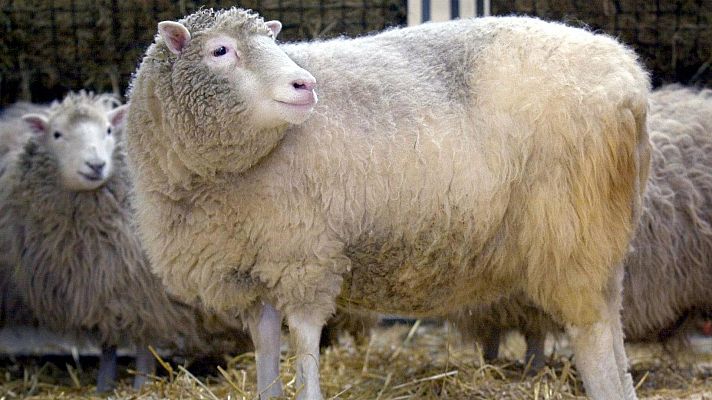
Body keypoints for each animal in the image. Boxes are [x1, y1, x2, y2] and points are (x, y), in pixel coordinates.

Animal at [0, 91, 253, 392]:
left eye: (109, 130)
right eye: (57, 134)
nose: (96, 165)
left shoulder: (147, 295)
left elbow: (145, 343)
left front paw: (141, 385)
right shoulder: (102, 291)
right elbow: (109, 344)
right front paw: (103, 387)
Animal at [125, 8, 651, 400]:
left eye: (274, 45)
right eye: (219, 50)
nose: (305, 85)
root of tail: (631, 78)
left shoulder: (305, 256)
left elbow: (306, 339)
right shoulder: (250, 268)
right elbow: (267, 345)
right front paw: (269, 389)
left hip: (570, 226)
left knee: (592, 330)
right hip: (603, 230)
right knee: (612, 320)